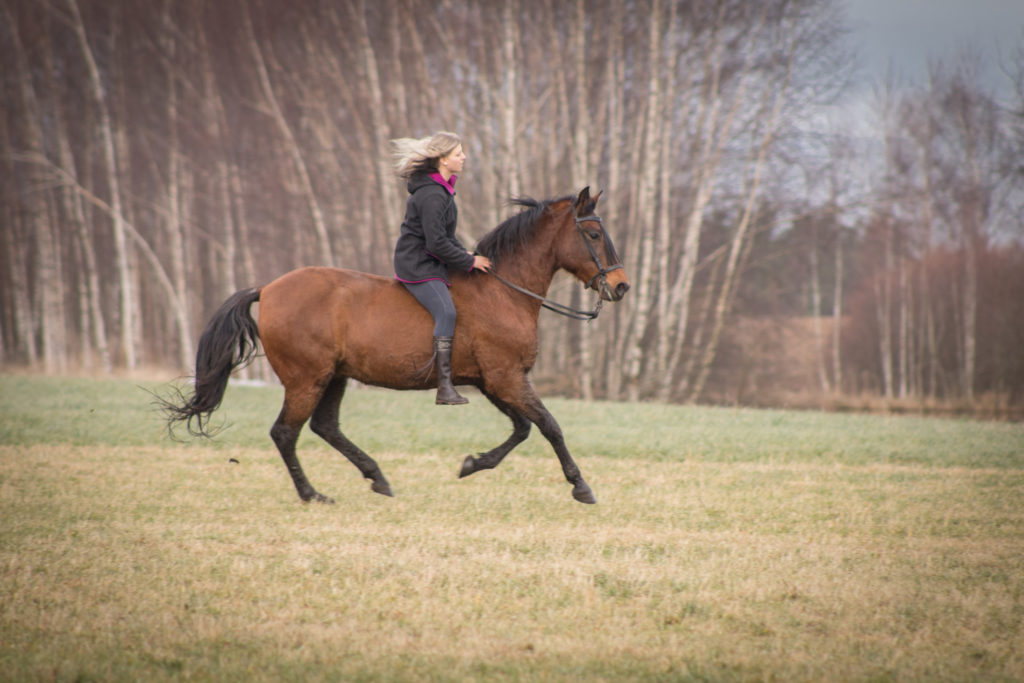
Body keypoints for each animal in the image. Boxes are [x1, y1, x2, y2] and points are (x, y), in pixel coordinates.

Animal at [162, 187, 626, 501]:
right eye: (592, 234)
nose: (621, 287)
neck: (503, 291)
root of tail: (269, 289)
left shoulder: (493, 381)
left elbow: (524, 428)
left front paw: (473, 464)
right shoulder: (506, 378)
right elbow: (549, 426)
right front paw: (581, 487)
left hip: (334, 376)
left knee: (325, 427)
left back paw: (377, 477)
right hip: (306, 379)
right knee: (285, 433)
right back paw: (313, 493)